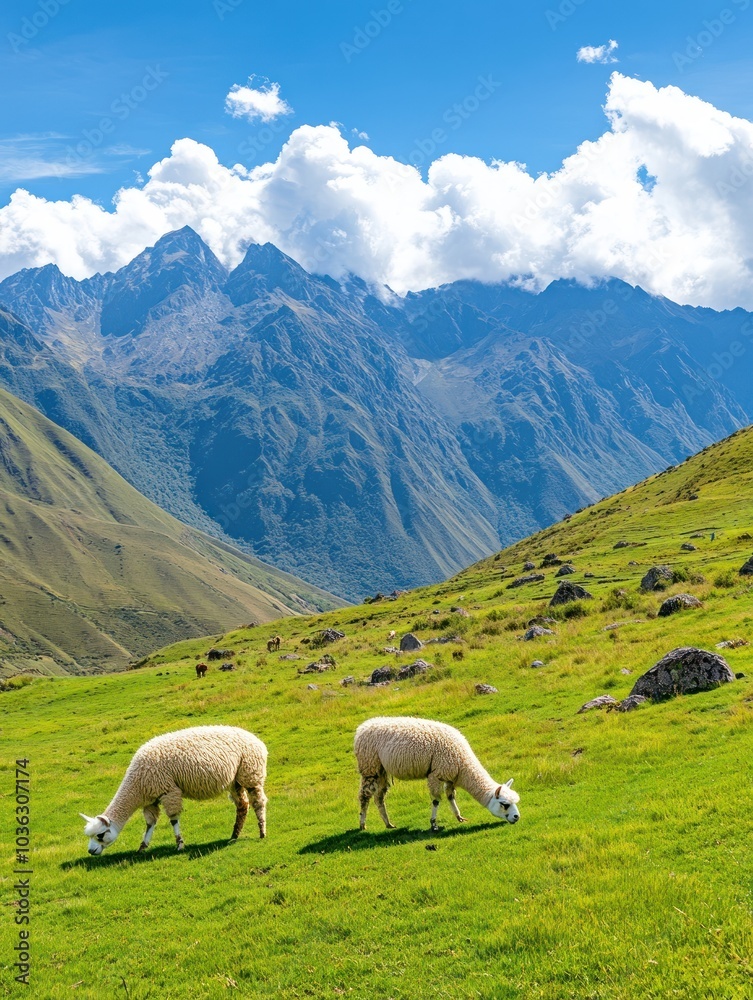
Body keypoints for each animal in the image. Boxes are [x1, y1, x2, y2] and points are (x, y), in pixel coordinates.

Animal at [80, 725, 267, 855]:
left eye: (100, 835)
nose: (91, 851)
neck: (137, 786)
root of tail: (258, 742)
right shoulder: (151, 799)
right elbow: (150, 823)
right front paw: (142, 847)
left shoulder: (168, 791)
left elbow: (173, 819)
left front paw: (180, 844)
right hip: (235, 780)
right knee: (242, 805)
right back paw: (234, 835)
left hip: (251, 772)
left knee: (258, 802)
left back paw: (262, 832)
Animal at [354, 716, 520, 832]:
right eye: (504, 804)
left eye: (515, 802)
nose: (516, 817)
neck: (462, 763)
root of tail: (362, 728)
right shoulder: (436, 774)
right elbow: (436, 800)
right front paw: (434, 825)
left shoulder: (450, 777)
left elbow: (450, 796)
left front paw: (459, 817)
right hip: (369, 765)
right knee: (364, 795)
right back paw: (362, 824)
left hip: (381, 769)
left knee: (379, 797)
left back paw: (388, 824)